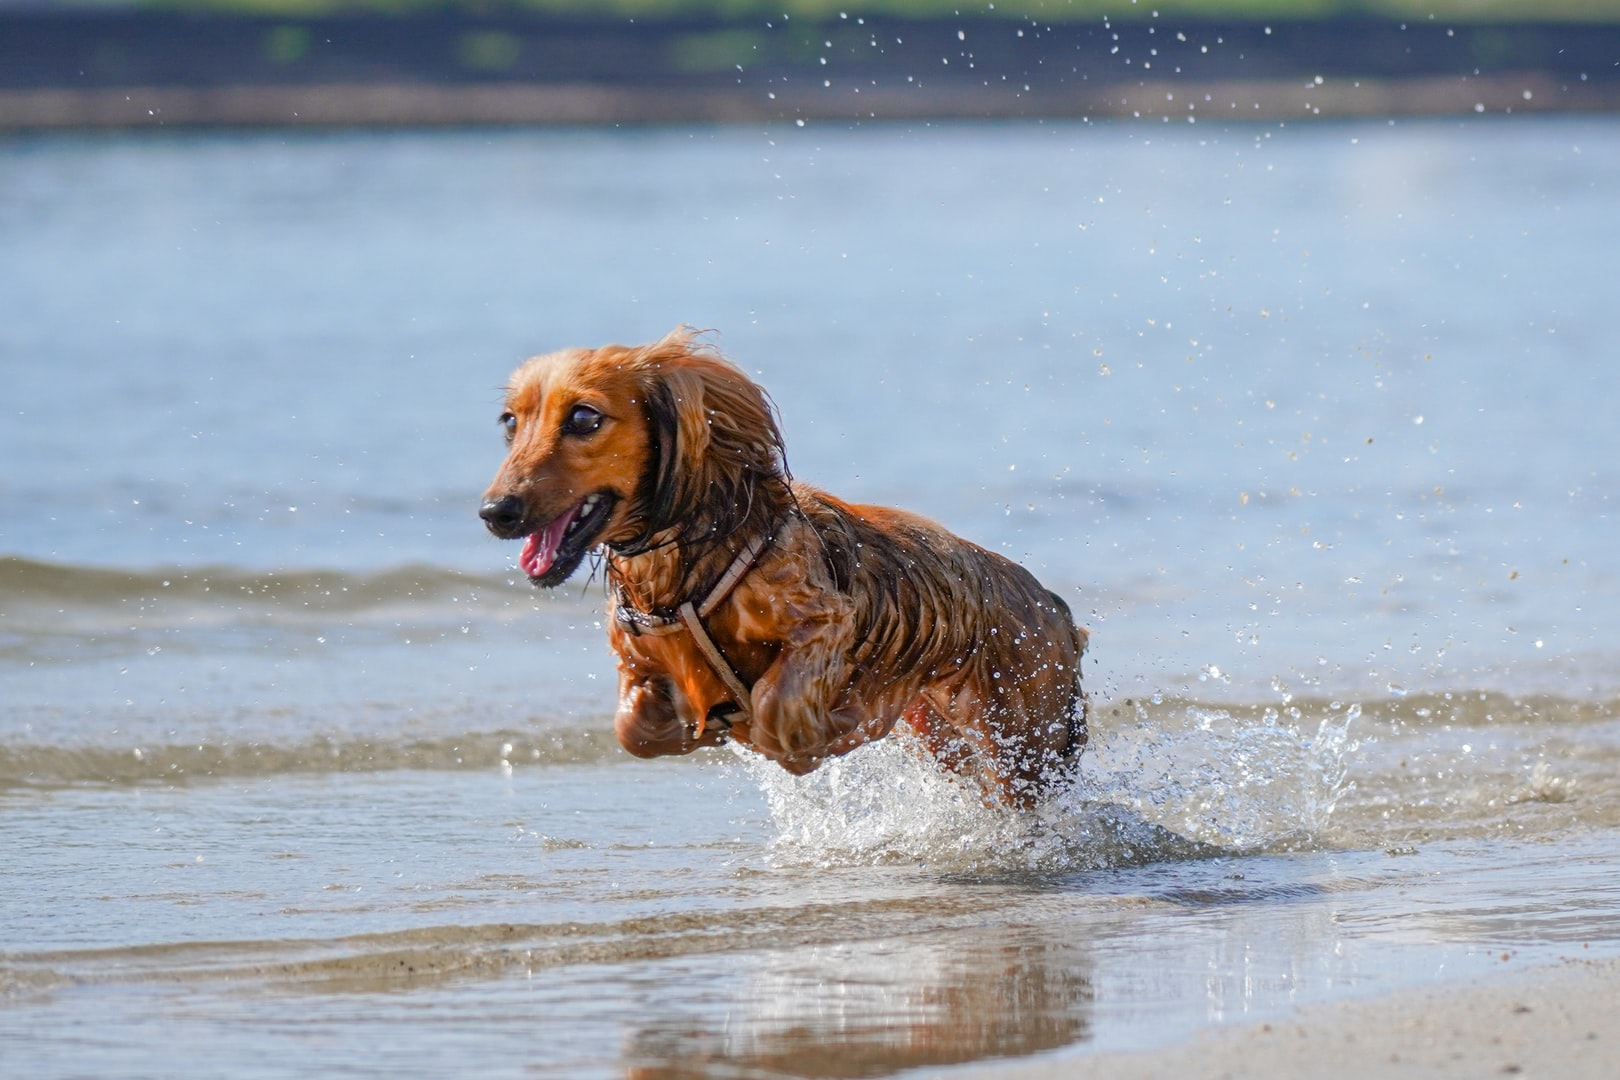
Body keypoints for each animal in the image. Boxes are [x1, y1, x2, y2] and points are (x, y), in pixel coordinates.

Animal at [479, 330, 1088, 803]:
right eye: (510, 422)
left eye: (584, 417)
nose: (495, 512)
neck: (683, 570)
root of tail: (1055, 607)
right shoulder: (638, 665)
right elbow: (633, 729)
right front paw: (697, 729)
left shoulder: (823, 622)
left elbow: (776, 714)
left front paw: (826, 729)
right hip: (949, 742)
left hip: (1024, 745)